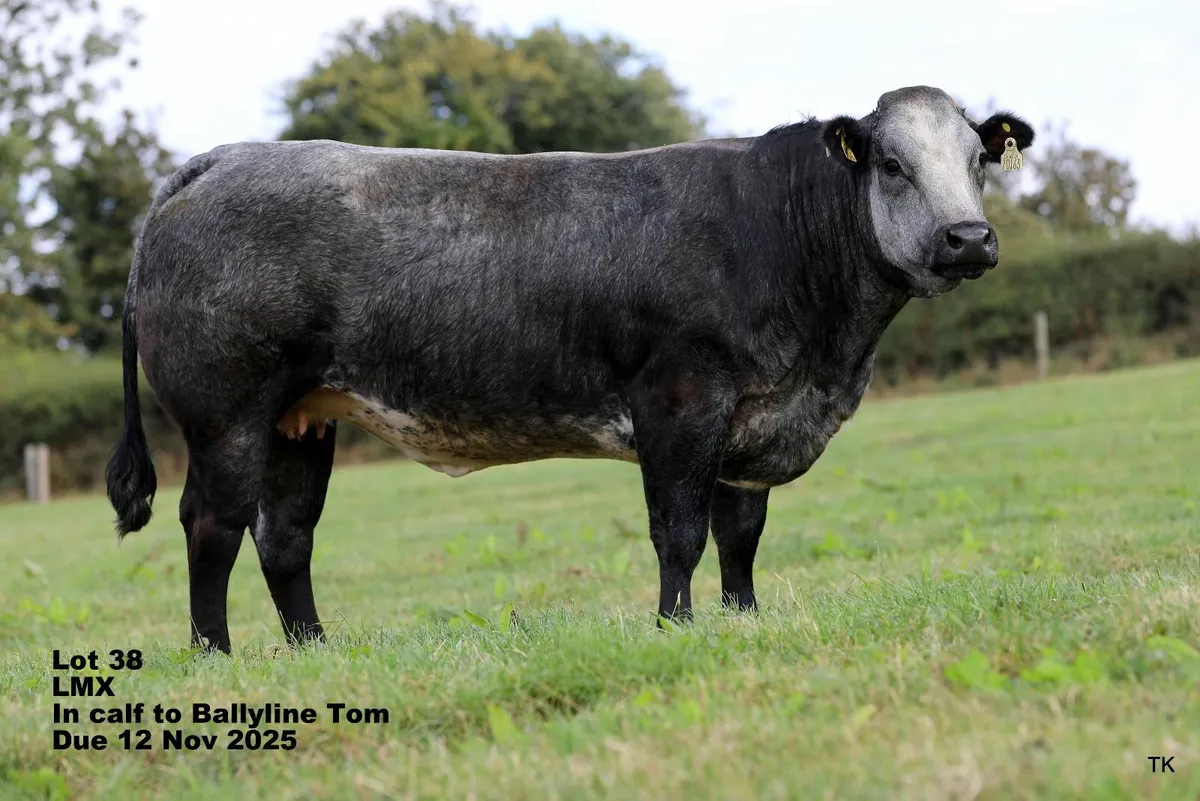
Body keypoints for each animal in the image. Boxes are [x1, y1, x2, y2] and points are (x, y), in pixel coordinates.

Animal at [105, 85, 1034, 654]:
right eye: (892, 165)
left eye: (978, 162)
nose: (970, 238)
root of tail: (225, 157)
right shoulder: (680, 400)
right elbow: (680, 532)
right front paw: (674, 627)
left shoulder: (753, 417)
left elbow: (741, 534)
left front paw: (743, 620)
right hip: (226, 414)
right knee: (213, 526)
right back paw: (216, 657)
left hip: (303, 416)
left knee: (285, 537)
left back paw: (315, 651)